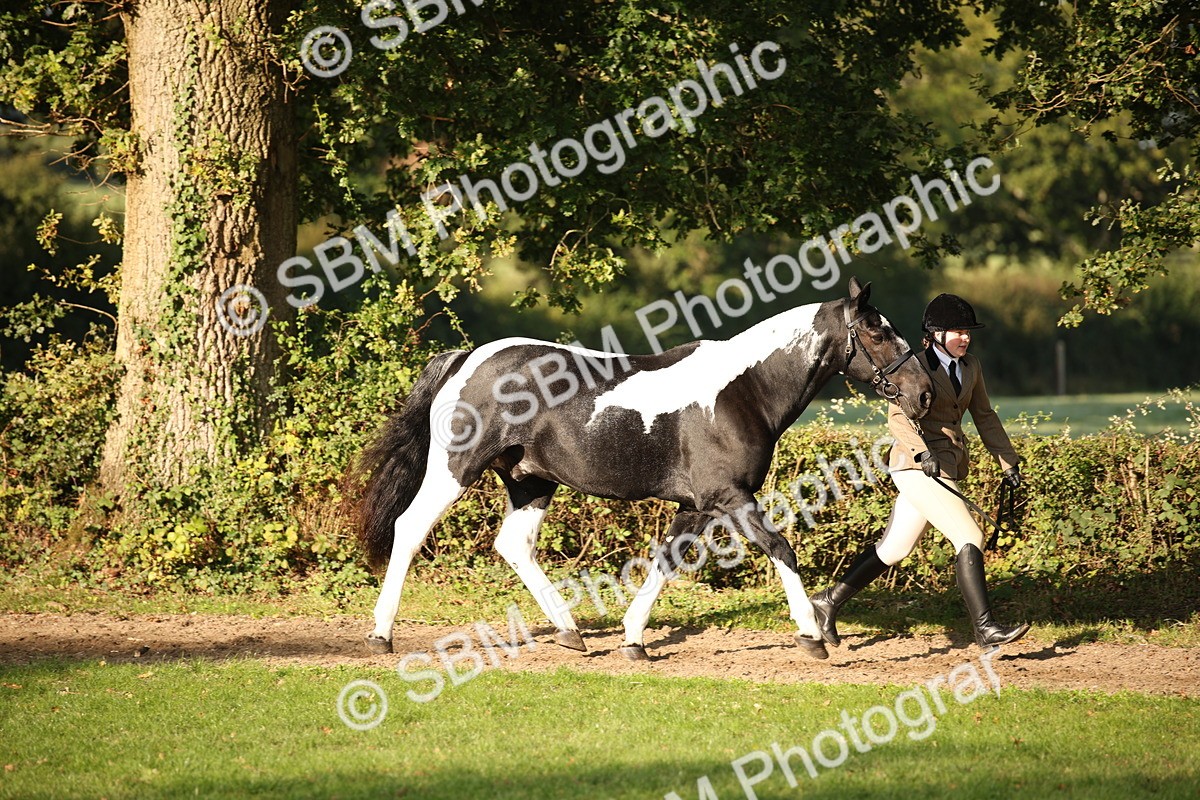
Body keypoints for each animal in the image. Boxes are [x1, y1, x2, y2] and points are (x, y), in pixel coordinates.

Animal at [356, 276, 933, 661]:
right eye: (877, 333)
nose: (924, 393)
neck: (743, 390)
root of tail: (467, 358)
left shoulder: (697, 505)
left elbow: (667, 561)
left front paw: (634, 639)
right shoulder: (732, 497)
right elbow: (780, 548)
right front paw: (812, 635)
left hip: (531, 481)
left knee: (514, 545)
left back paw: (571, 633)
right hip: (455, 470)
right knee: (409, 528)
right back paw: (382, 634)